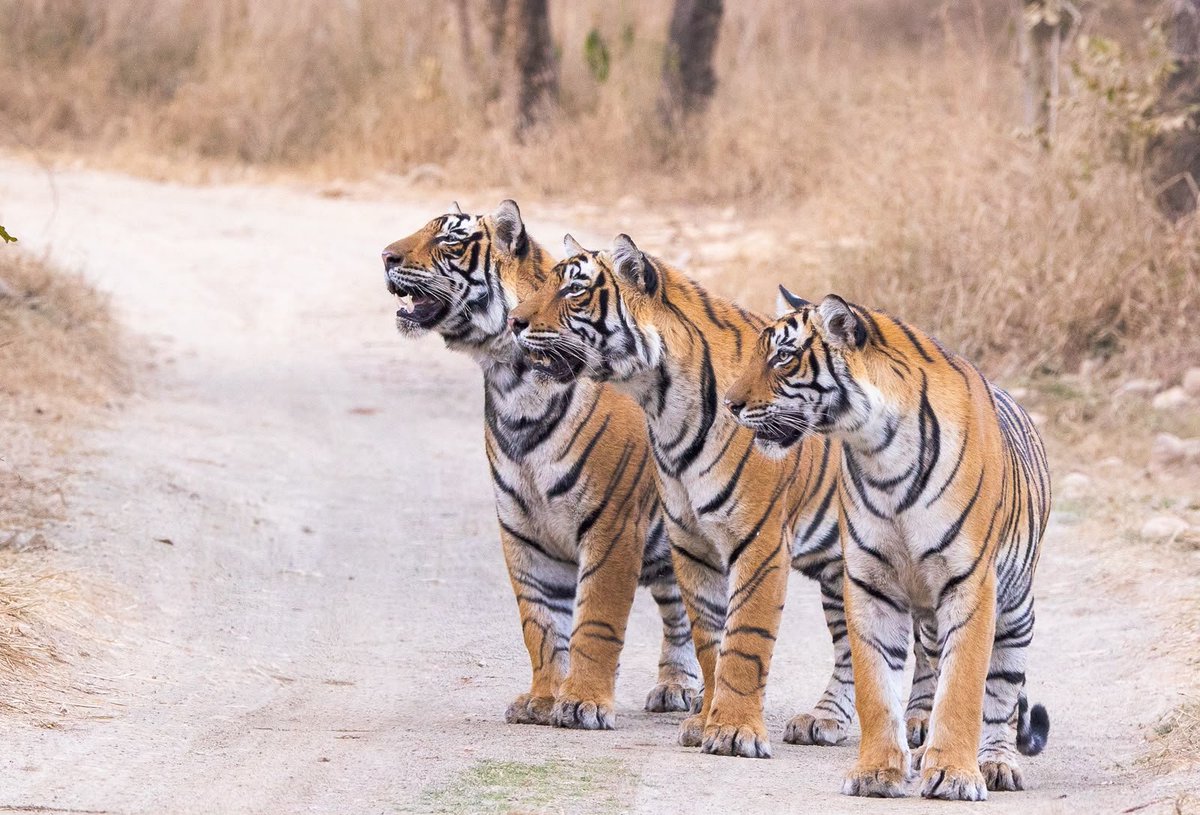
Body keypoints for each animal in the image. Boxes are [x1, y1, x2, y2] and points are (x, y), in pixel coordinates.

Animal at [380, 202, 701, 730]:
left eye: (449, 241)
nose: (385, 256)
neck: (512, 381)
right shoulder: (522, 528)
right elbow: (542, 625)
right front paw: (543, 700)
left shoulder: (612, 524)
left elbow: (595, 620)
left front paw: (584, 703)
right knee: (681, 610)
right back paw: (678, 687)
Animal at [508, 233, 936, 758]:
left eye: (574, 290)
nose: (514, 322)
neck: (662, 405)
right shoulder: (692, 542)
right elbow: (711, 639)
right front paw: (705, 722)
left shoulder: (760, 541)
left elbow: (745, 638)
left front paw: (734, 732)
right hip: (844, 569)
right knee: (850, 647)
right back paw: (823, 720)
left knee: (928, 643)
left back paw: (919, 722)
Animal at [724, 287, 1051, 800]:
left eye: (783, 357)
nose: (729, 404)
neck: (879, 451)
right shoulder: (870, 583)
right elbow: (875, 687)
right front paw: (878, 772)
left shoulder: (970, 585)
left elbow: (963, 689)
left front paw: (955, 775)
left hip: (1016, 611)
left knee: (999, 696)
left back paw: (995, 763)